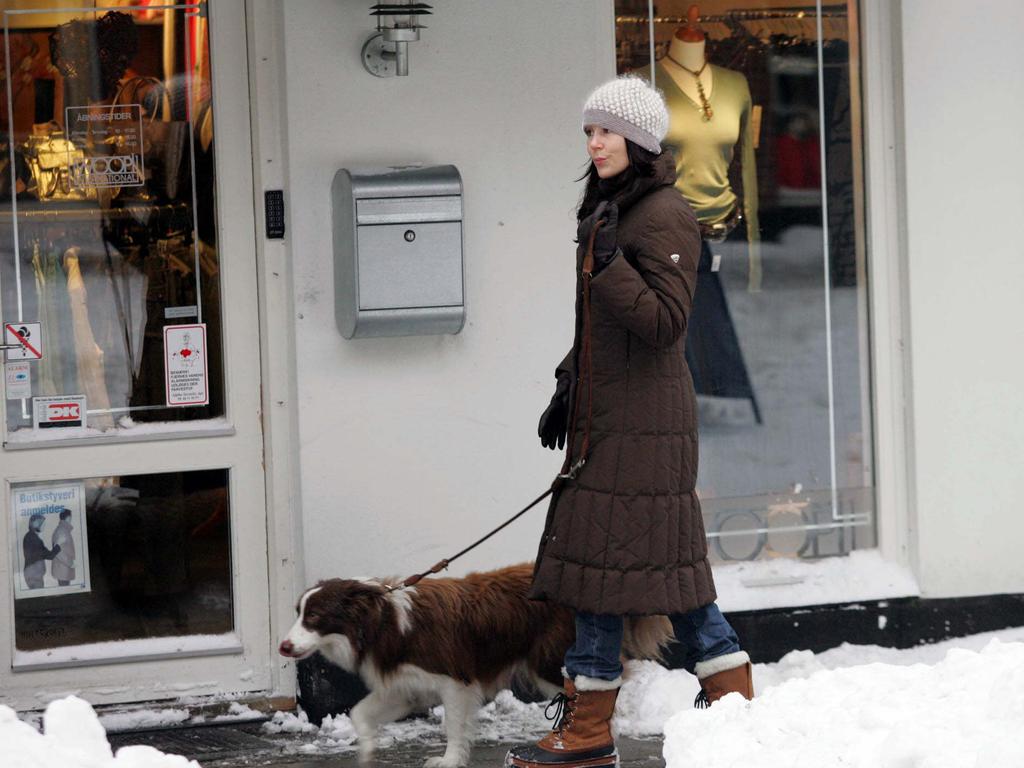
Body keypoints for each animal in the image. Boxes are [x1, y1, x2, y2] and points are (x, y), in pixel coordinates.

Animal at [280, 561, 671, 765]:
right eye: (297, 612)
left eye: (314, 617)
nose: (283, 646)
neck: (383, 621)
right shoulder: (406, 687)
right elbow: (359, 712)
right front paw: (367, 751)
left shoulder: (455, 680)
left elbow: (454, 726)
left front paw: (450, 760)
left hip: (548, 661)